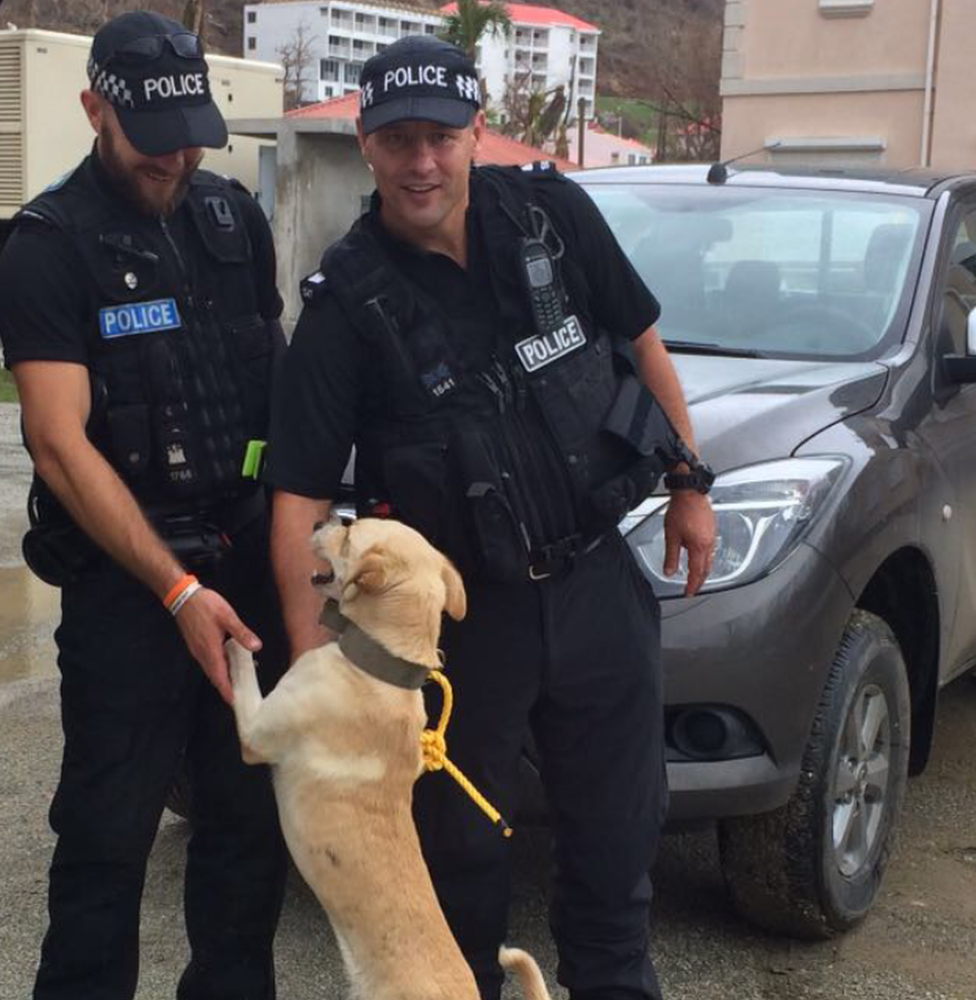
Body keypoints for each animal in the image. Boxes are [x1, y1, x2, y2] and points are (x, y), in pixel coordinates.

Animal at [225, 516, 552, 1000]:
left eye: (348, 529)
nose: (322, 519)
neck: (381, 667)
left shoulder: (254, 734)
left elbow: (243, 670)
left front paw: (234, 636)